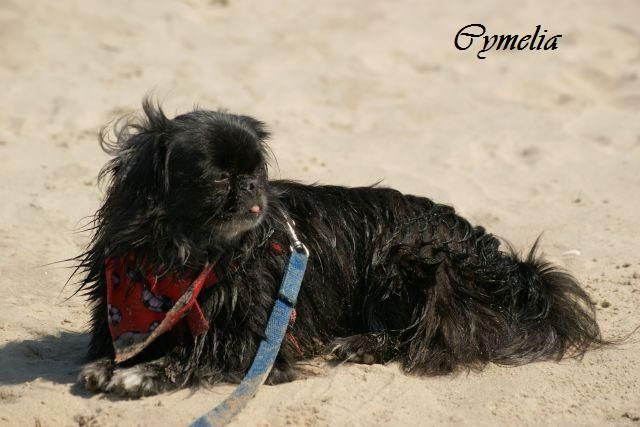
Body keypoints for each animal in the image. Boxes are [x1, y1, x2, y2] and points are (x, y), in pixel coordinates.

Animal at [75, 99, 602, 398]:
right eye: (219, 178)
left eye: (256, 172)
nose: (252, 187)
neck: (189, 257)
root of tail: (504, 265)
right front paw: (112, 364)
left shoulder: (257, 342)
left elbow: (199, 352)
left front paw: (141, 374)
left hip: (409, 258)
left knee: (426, 333)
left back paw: (362, 344)